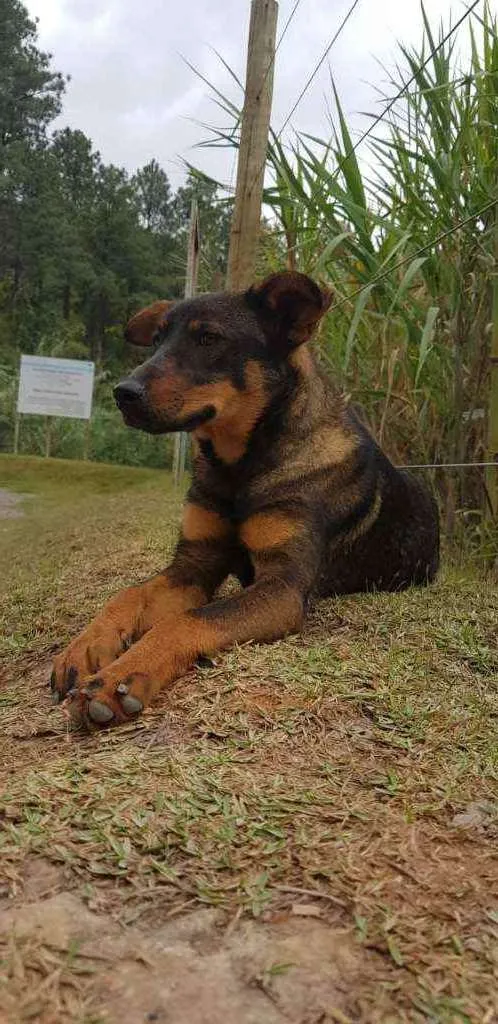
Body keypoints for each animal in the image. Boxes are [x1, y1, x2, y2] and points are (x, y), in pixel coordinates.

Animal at [50, 272, 440, 729]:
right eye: (157, 340)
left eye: (208, 338)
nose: (122, 393)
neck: (240, 466)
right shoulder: (194, 563)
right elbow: (126, 594)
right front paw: (85, 644)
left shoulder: (282, 586)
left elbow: (184, 621)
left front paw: (121, 677)